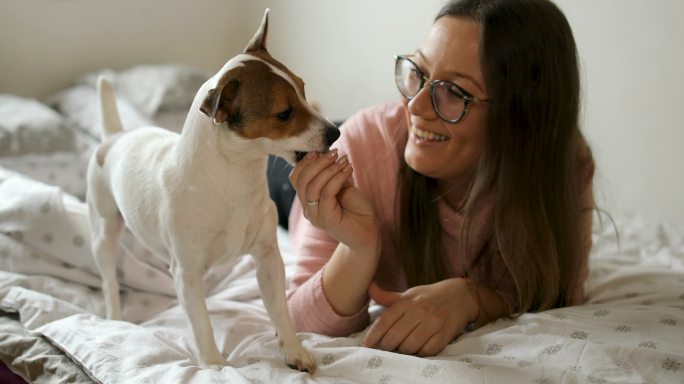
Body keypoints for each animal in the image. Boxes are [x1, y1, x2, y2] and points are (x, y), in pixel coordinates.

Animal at [87, 8, 338, 372]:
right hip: (104, 232)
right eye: (284, 113)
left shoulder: (268, 259)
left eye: (304, 90)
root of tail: (117, 136)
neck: (234, 179)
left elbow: (279, 310)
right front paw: (213, 364)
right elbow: (200, 324)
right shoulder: (187, 273)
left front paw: (293, 349)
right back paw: (116, 316)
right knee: (108, 279)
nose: (335, 132)